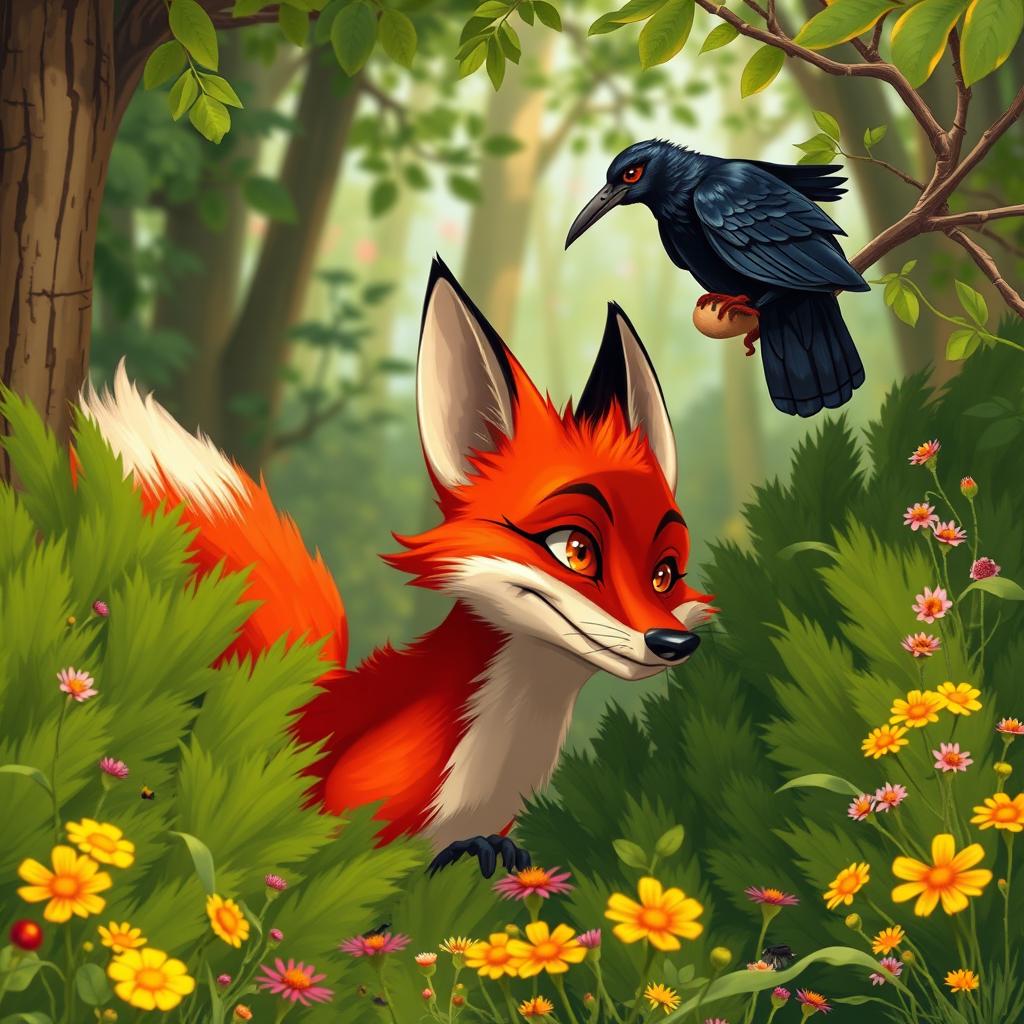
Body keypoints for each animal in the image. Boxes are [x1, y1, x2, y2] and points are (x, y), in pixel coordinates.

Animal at [80, 257, 713, 876]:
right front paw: (465, 852)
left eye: (665, 573)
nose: (673, 643)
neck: (497, 762)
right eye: (575, 549)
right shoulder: (339, 828)